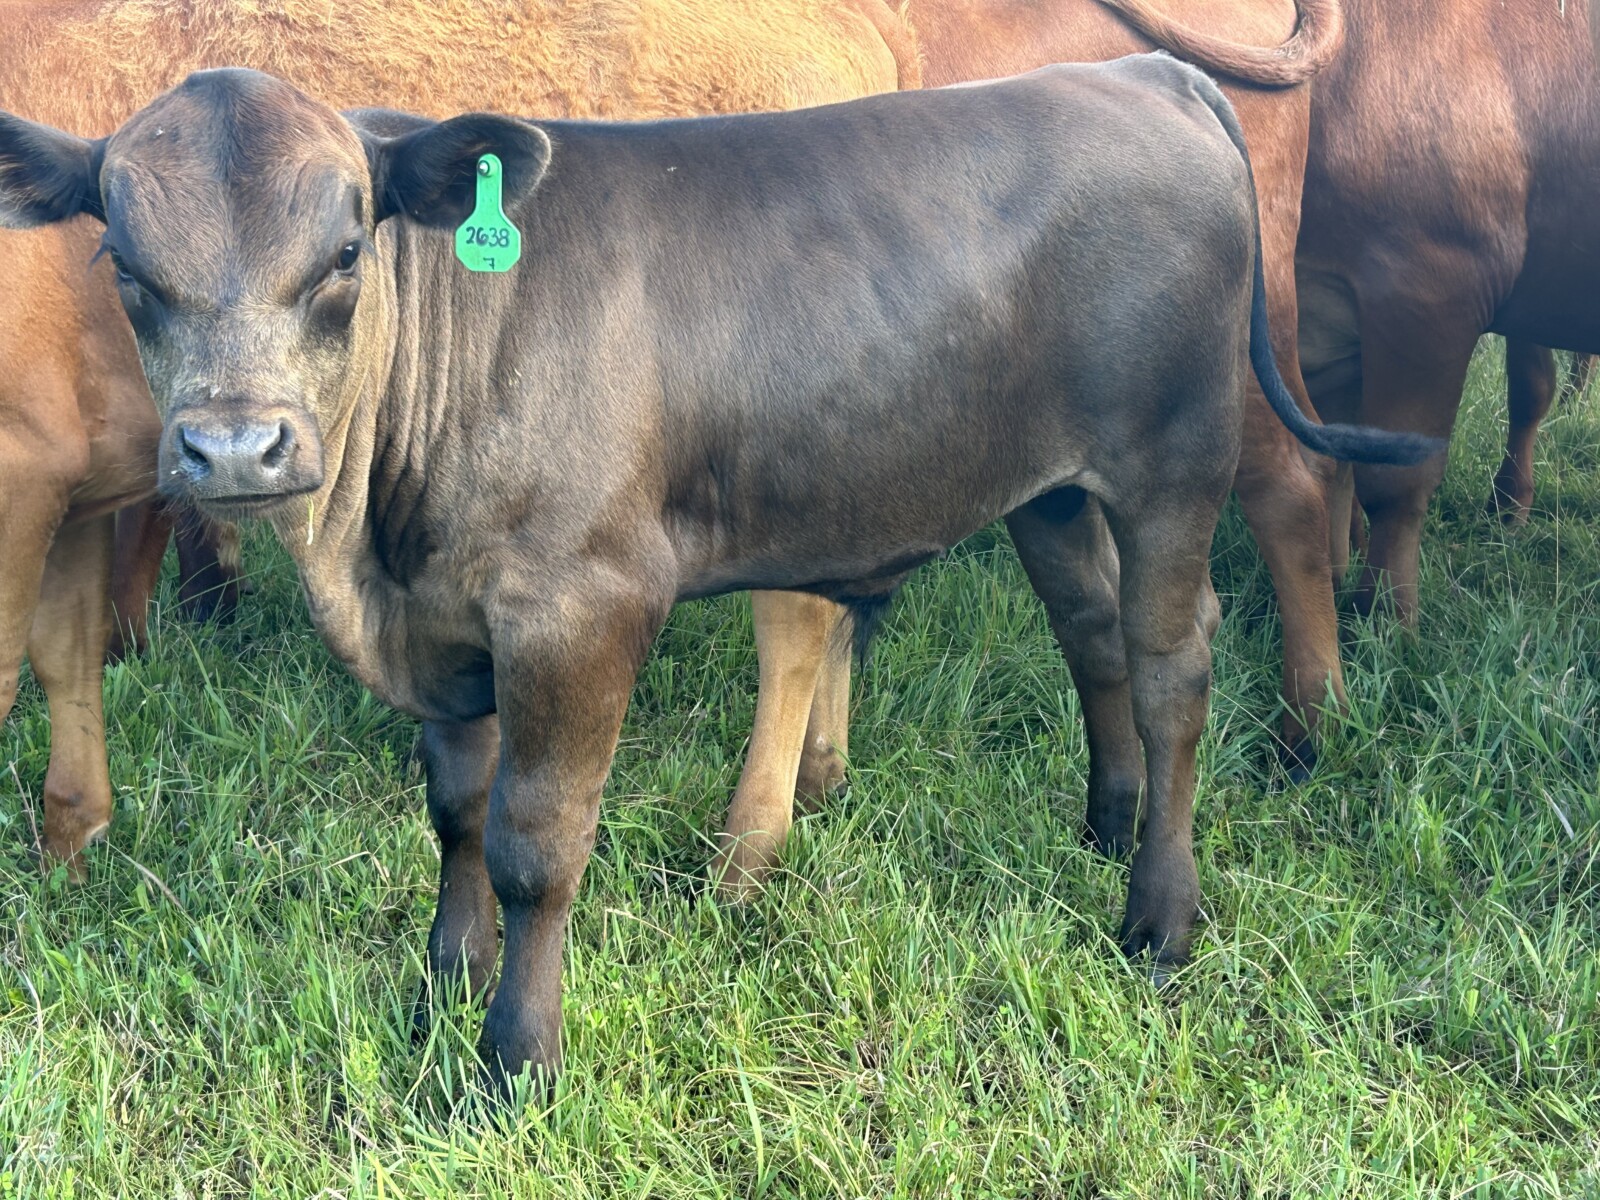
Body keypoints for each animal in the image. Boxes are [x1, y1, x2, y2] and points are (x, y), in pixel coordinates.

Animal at [0, 0, 909, 874]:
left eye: (348, 254)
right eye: (120, 263)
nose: (232, 450)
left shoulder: (21, 477)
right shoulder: (71, 491)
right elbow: (65, 654)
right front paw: (74, 841)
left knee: (794, 632)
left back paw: (748, 849)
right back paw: (823, 772)